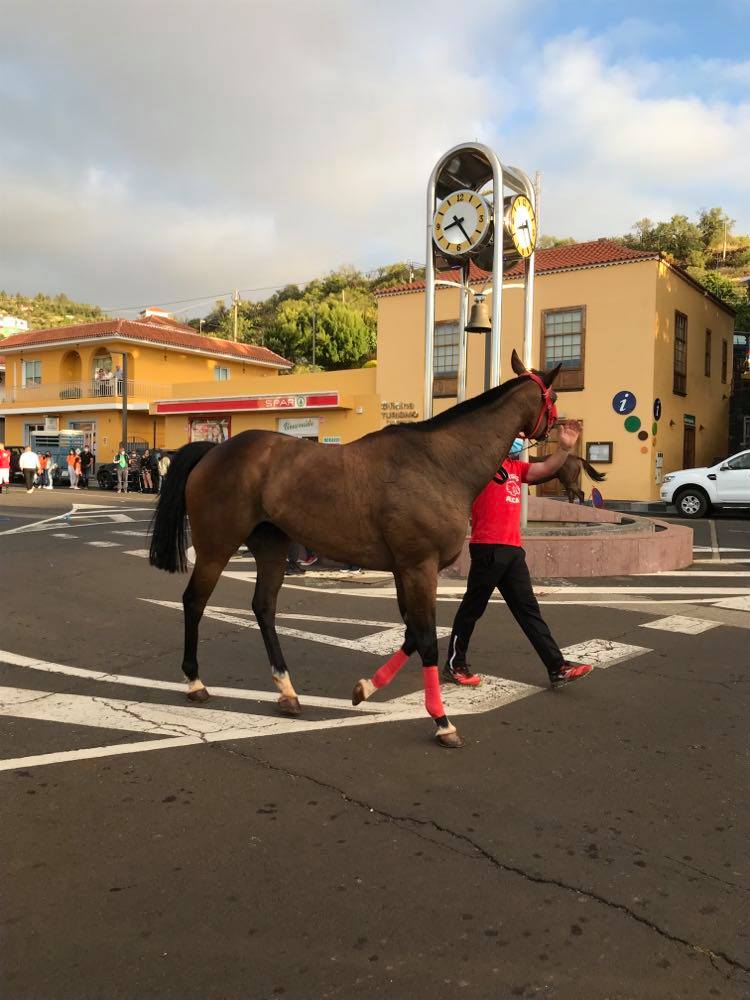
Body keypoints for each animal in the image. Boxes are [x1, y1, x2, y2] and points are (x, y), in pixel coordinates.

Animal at [148, 352, 560, 752]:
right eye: (554, 397)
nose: (559, 433)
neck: (439, 463)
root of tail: (214, 449)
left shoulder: (404, 570)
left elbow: (412, 634)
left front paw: (366, 687)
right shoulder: (419, 567)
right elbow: (426, 640)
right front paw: (442, 721)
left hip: (272, 546)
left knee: (263, 607)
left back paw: (286, 690)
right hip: (216, 546)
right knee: (195, 601)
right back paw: (195, 682)